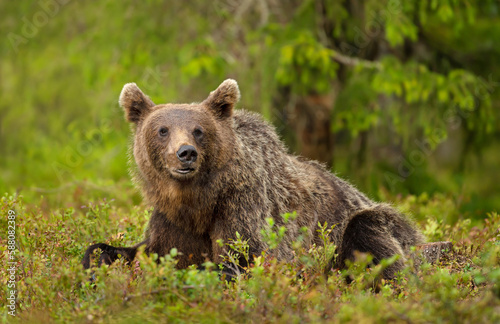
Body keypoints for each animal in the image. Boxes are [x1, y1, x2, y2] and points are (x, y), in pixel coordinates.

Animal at [81, 79, 422, 278]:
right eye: (162, 130)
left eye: (198, 130)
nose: (185, 153)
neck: (196, 202)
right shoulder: (170, 221)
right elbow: (146, 250)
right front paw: (97, 258)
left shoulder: (243, 207)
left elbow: (236, 261)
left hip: (379, 222)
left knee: (370, 234)